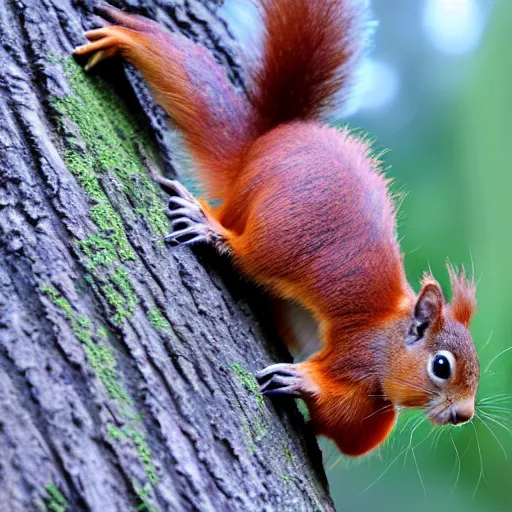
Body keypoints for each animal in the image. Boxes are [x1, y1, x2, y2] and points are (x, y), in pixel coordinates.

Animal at [74, 0, 482, 456]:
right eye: (441, 365)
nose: (463, 414)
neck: (388, 333)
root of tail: (263, 146)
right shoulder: (357, 350)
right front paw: (306, 380)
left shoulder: (372, 397)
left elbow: (351, 432)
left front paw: (304, 384)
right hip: (282, 232)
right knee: (250, 254)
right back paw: (215, 231)